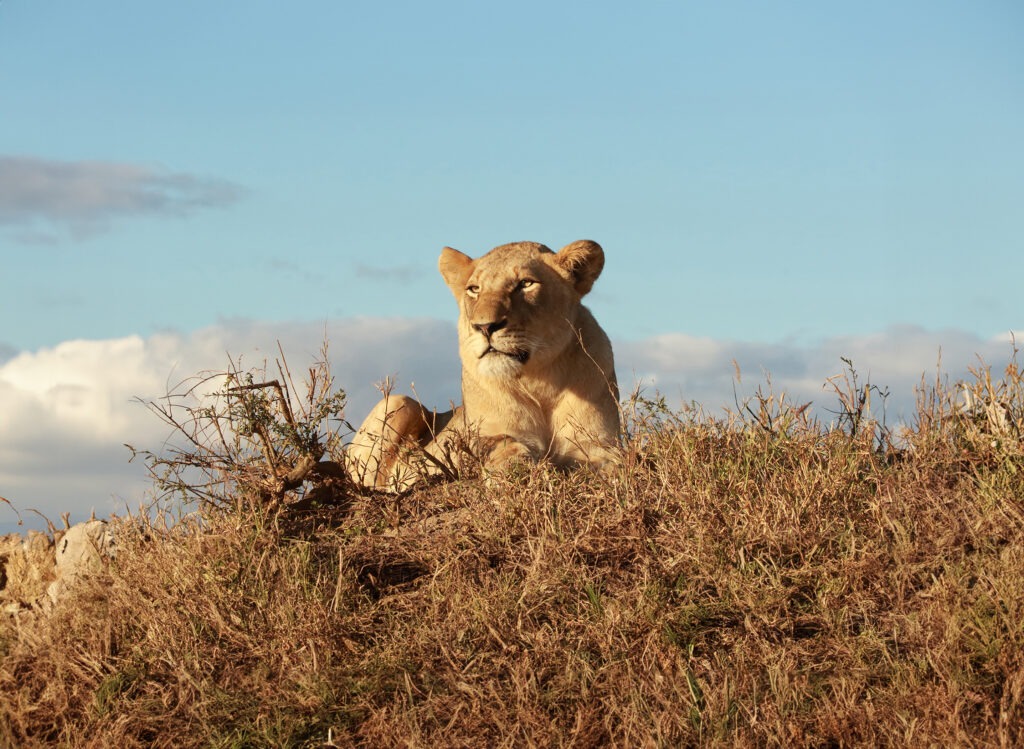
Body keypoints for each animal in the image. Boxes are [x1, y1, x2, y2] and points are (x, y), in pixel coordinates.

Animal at [345, 240, 620, 491]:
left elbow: (611, 466)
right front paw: (519, 473)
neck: (539, 381)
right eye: (474, 289)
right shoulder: (484, 433)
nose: (485, 326)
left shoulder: (597, 443)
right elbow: (503, 444)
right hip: (399, 402)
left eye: (526, 284)